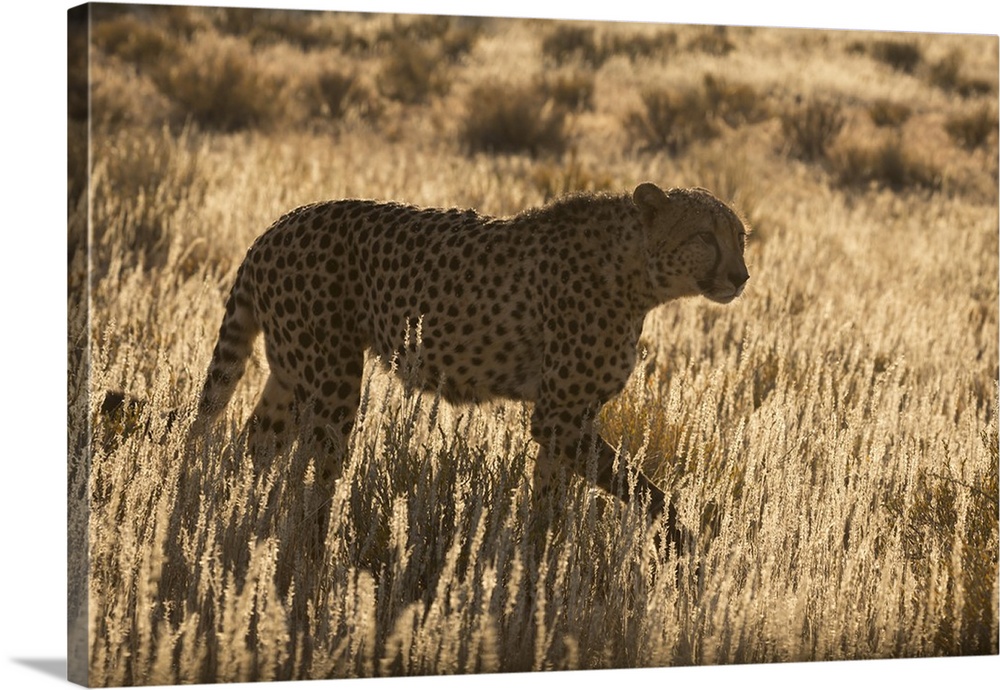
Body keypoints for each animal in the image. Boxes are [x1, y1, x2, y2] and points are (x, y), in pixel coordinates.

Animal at [193, 181, 752, 544]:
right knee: (312, 475)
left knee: (255, 444)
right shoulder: (560, 418)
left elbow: (549, 502)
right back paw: (311, 553)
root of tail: (276, 226)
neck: (637, 270)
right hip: (331, 382)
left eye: (740, 237)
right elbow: (647, 491)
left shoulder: (566, 423)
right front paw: (687, 546)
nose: (741, 276)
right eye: (704, 237)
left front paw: (536, 569)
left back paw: (239, 513)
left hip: (291, 374)